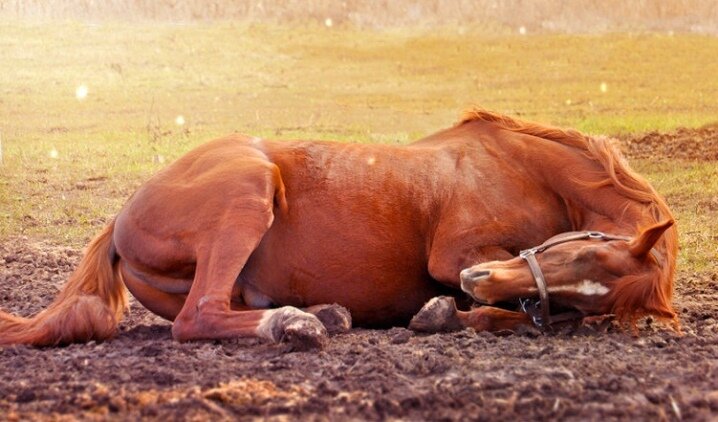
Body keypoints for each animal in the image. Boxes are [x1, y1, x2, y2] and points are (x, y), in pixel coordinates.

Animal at [0, 109, 680, 350]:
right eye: (578, 257)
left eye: (589, 287)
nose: (478, 280)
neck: (528, 166)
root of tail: (120, 218)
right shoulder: (456, 252)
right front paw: (449, 309)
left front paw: (450, 313)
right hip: (247, 193)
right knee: (199, 317)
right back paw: (295, 324)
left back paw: (321, 313)